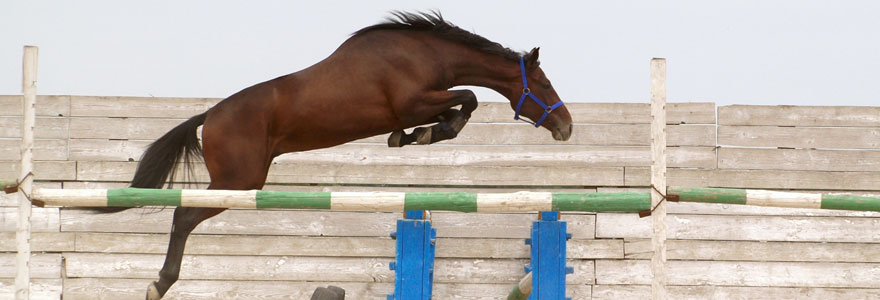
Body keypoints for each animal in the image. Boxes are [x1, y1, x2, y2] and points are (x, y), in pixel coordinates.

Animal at [129, 11, 572, 300]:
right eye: (544, 84)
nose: (567, 126)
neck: (427, 53)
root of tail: (210, 115)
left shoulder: (417, 105)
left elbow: (455, 105)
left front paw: (414, 136)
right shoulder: (413, 102)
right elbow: (468, 97)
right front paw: (430, 133)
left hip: (239, 182)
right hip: (238, 182)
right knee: (183, 216)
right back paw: (159, 284)